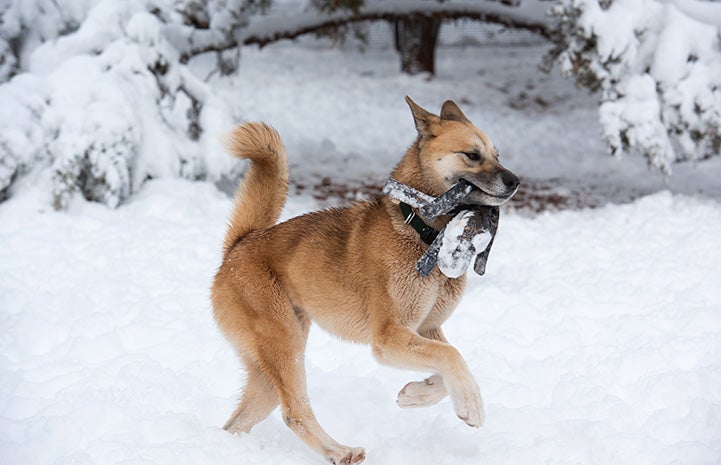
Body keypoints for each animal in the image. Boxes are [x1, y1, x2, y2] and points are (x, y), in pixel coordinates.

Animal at [211, 96, 520, 462]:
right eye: (472, 155)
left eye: (497, 154)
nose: (515, 181)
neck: (422, 231)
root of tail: (238, 245)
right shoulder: (389, 338)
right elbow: (452, 356)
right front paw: (471, 405)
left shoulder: (426, 328)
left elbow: (447, 364)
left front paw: (415, 395)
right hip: (285, 348)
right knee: (295, 413)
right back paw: (340, 451)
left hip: (270, 369)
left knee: (239, 422)